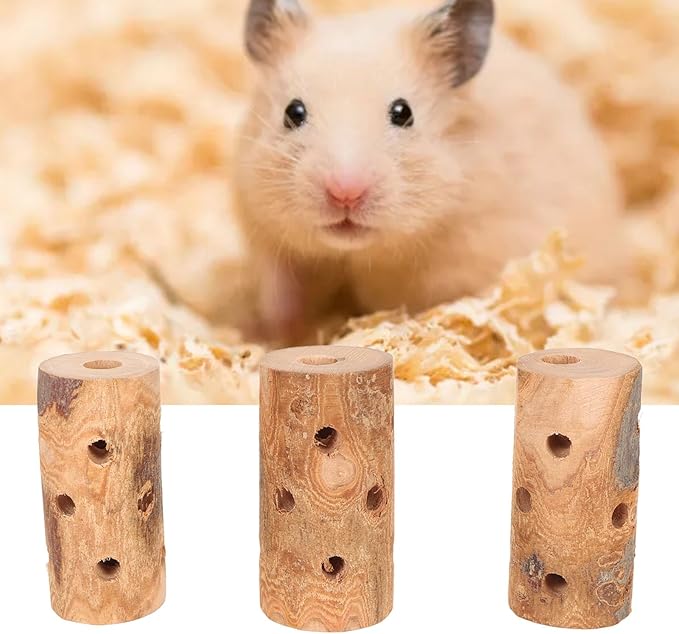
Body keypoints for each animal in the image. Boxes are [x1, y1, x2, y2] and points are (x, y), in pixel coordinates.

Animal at [235, 0, 625, 341]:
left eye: (403, 113)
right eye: (293, 112)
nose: (345, 193)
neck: (359, 253)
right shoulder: (266, 236)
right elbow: (281, 296)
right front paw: (268, 336)